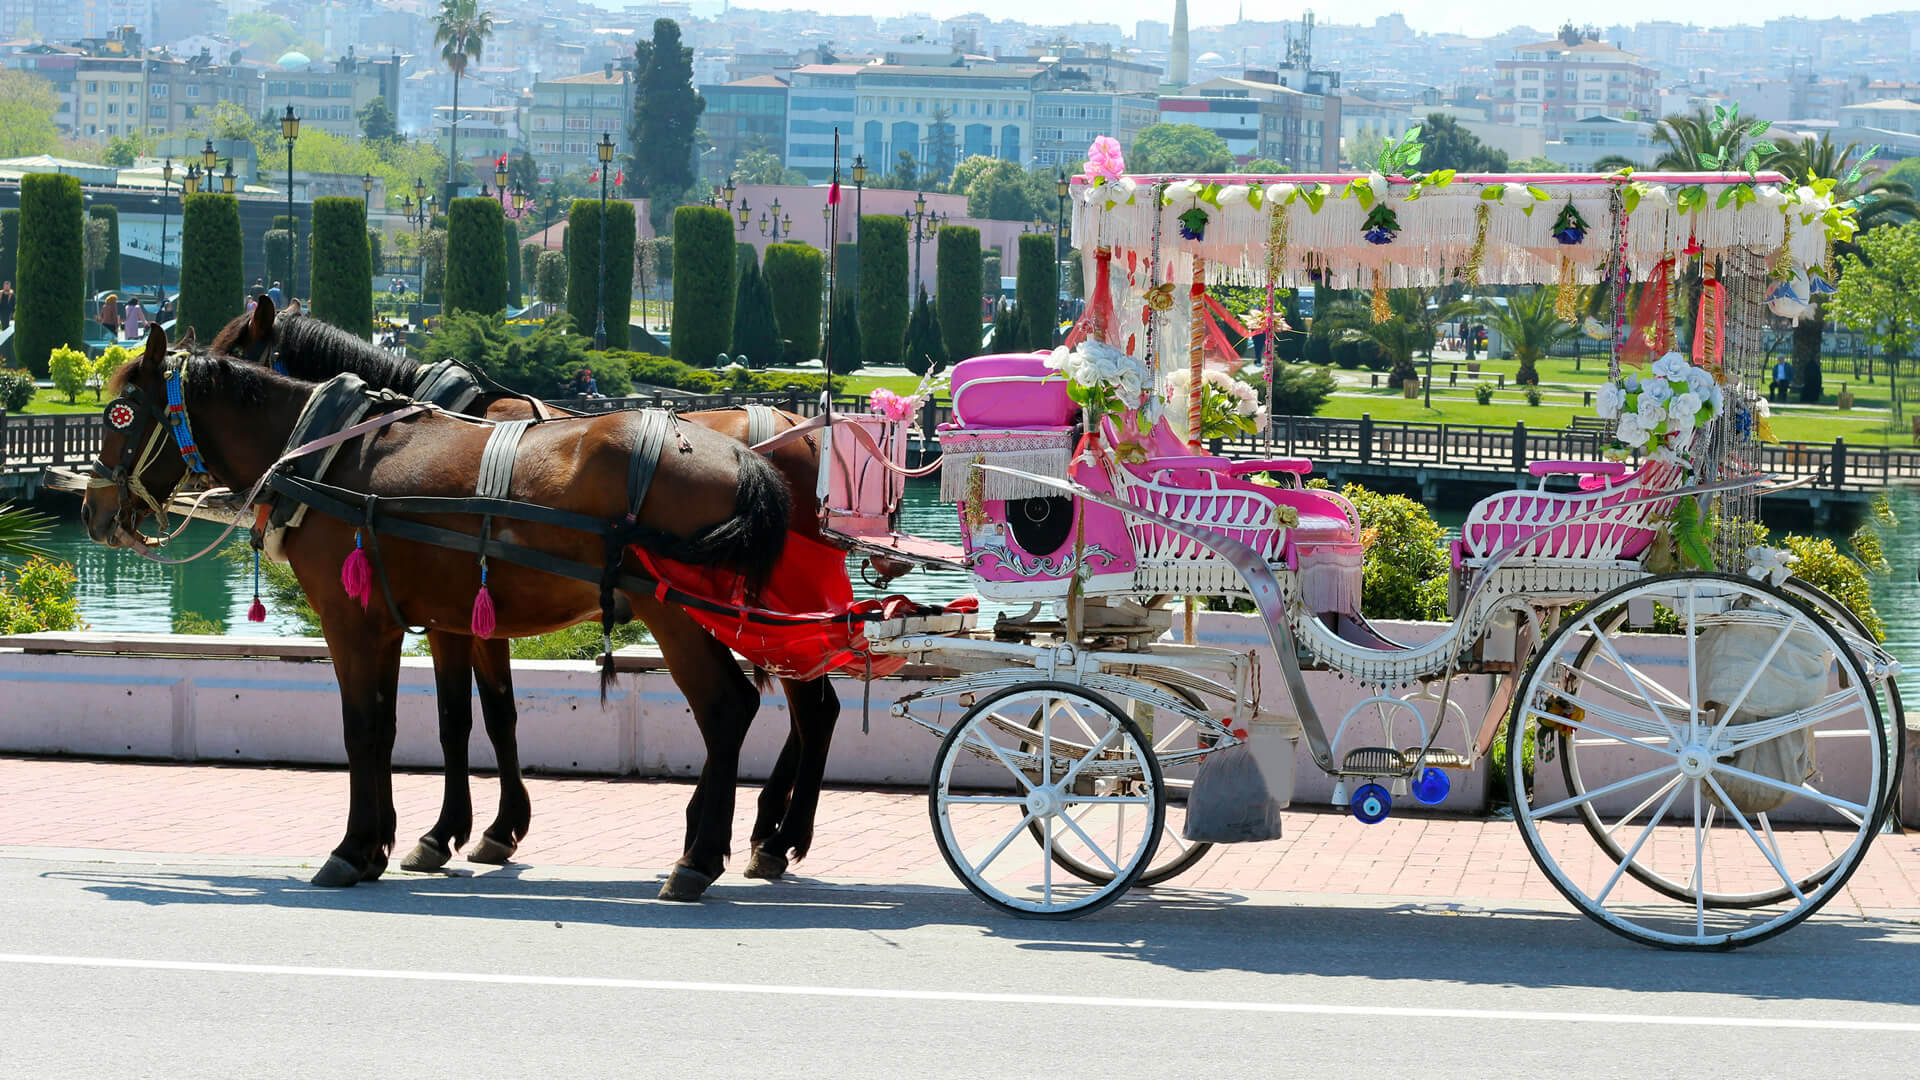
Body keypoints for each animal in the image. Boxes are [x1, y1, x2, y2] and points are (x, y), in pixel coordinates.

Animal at [86, 328, 791, 899]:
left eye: (120, 414)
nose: (94, 510)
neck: (326, 454)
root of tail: (742, 458)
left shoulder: (350, 617)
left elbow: (363, 727)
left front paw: (354, 848)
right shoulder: (403, 619)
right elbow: (416, 722)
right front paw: (391, 842)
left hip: (674, 612)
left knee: (727, 708)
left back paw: (704, 856)